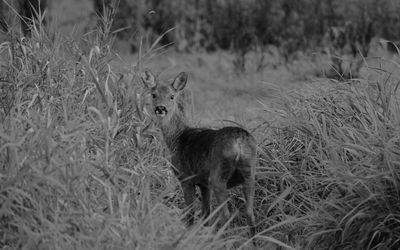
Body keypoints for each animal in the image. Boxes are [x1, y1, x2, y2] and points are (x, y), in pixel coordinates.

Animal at [143, 70, 256, 236]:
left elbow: (190, 213)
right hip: (249, 173)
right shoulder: (203, 183)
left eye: (172, 96)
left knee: (226, 214)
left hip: (218, 175)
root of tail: (239, 142)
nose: (161, 108)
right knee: (250, 213)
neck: (177, 138)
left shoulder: (186, 177)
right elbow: (205, 213)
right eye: (153, 94)